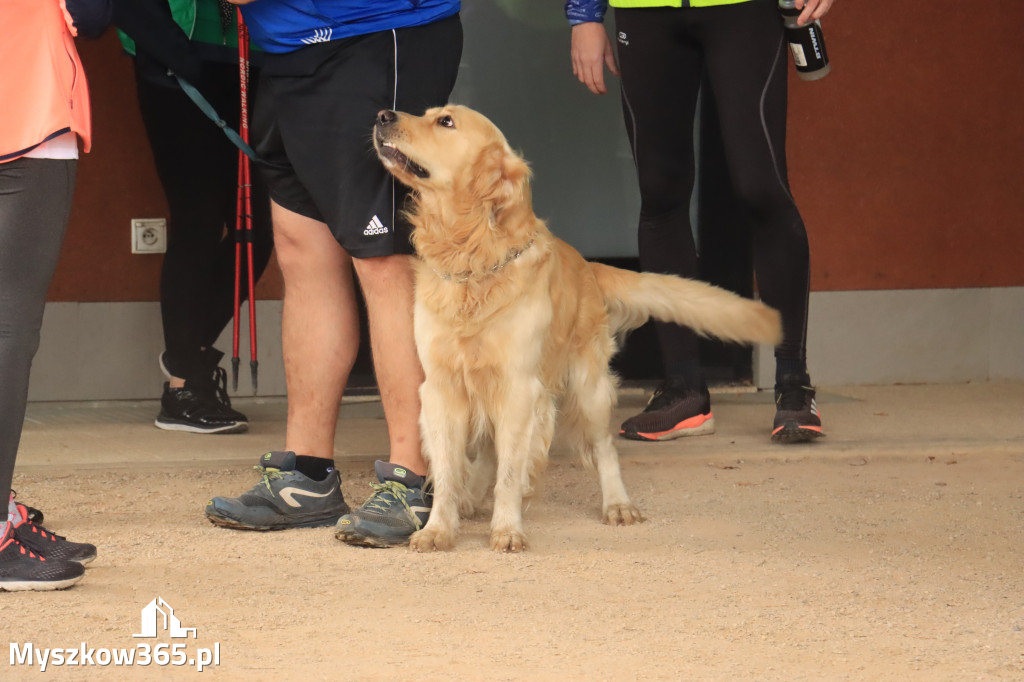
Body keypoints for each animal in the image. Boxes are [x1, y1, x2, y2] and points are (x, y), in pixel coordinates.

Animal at [376, 106, 782, 552]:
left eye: (445, 122)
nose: (382, 115)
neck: (471, 256)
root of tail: (588, 265)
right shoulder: (442, 387)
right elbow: (449, 470)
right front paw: (438, 529)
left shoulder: (520, 387)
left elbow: (510, 473)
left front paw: (507, 528)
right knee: (487, 449)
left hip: (588, 391)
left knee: (604, 449)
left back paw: (618, 504)